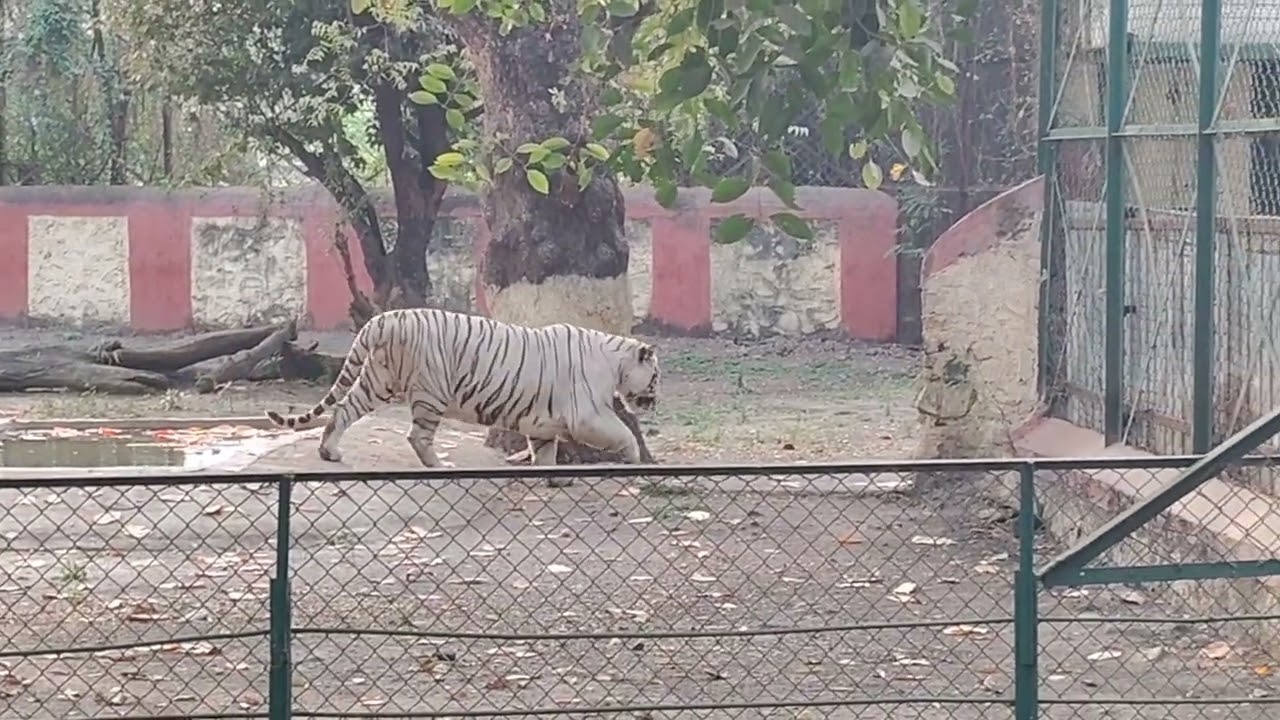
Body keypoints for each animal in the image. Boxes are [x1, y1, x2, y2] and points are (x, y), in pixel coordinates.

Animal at [264, 307, 660, 469]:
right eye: (656, 377)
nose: (655, 402)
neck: (616, 361)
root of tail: (384, 319)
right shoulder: (587, 414)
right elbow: (623, 433)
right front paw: (635, 458)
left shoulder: (543, 423)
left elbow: (545, 451)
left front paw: (550, 478)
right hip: (431, 391)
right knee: (418, 436)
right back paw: (436, 465)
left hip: (377, 380)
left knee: (343, 410)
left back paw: (328, 452)